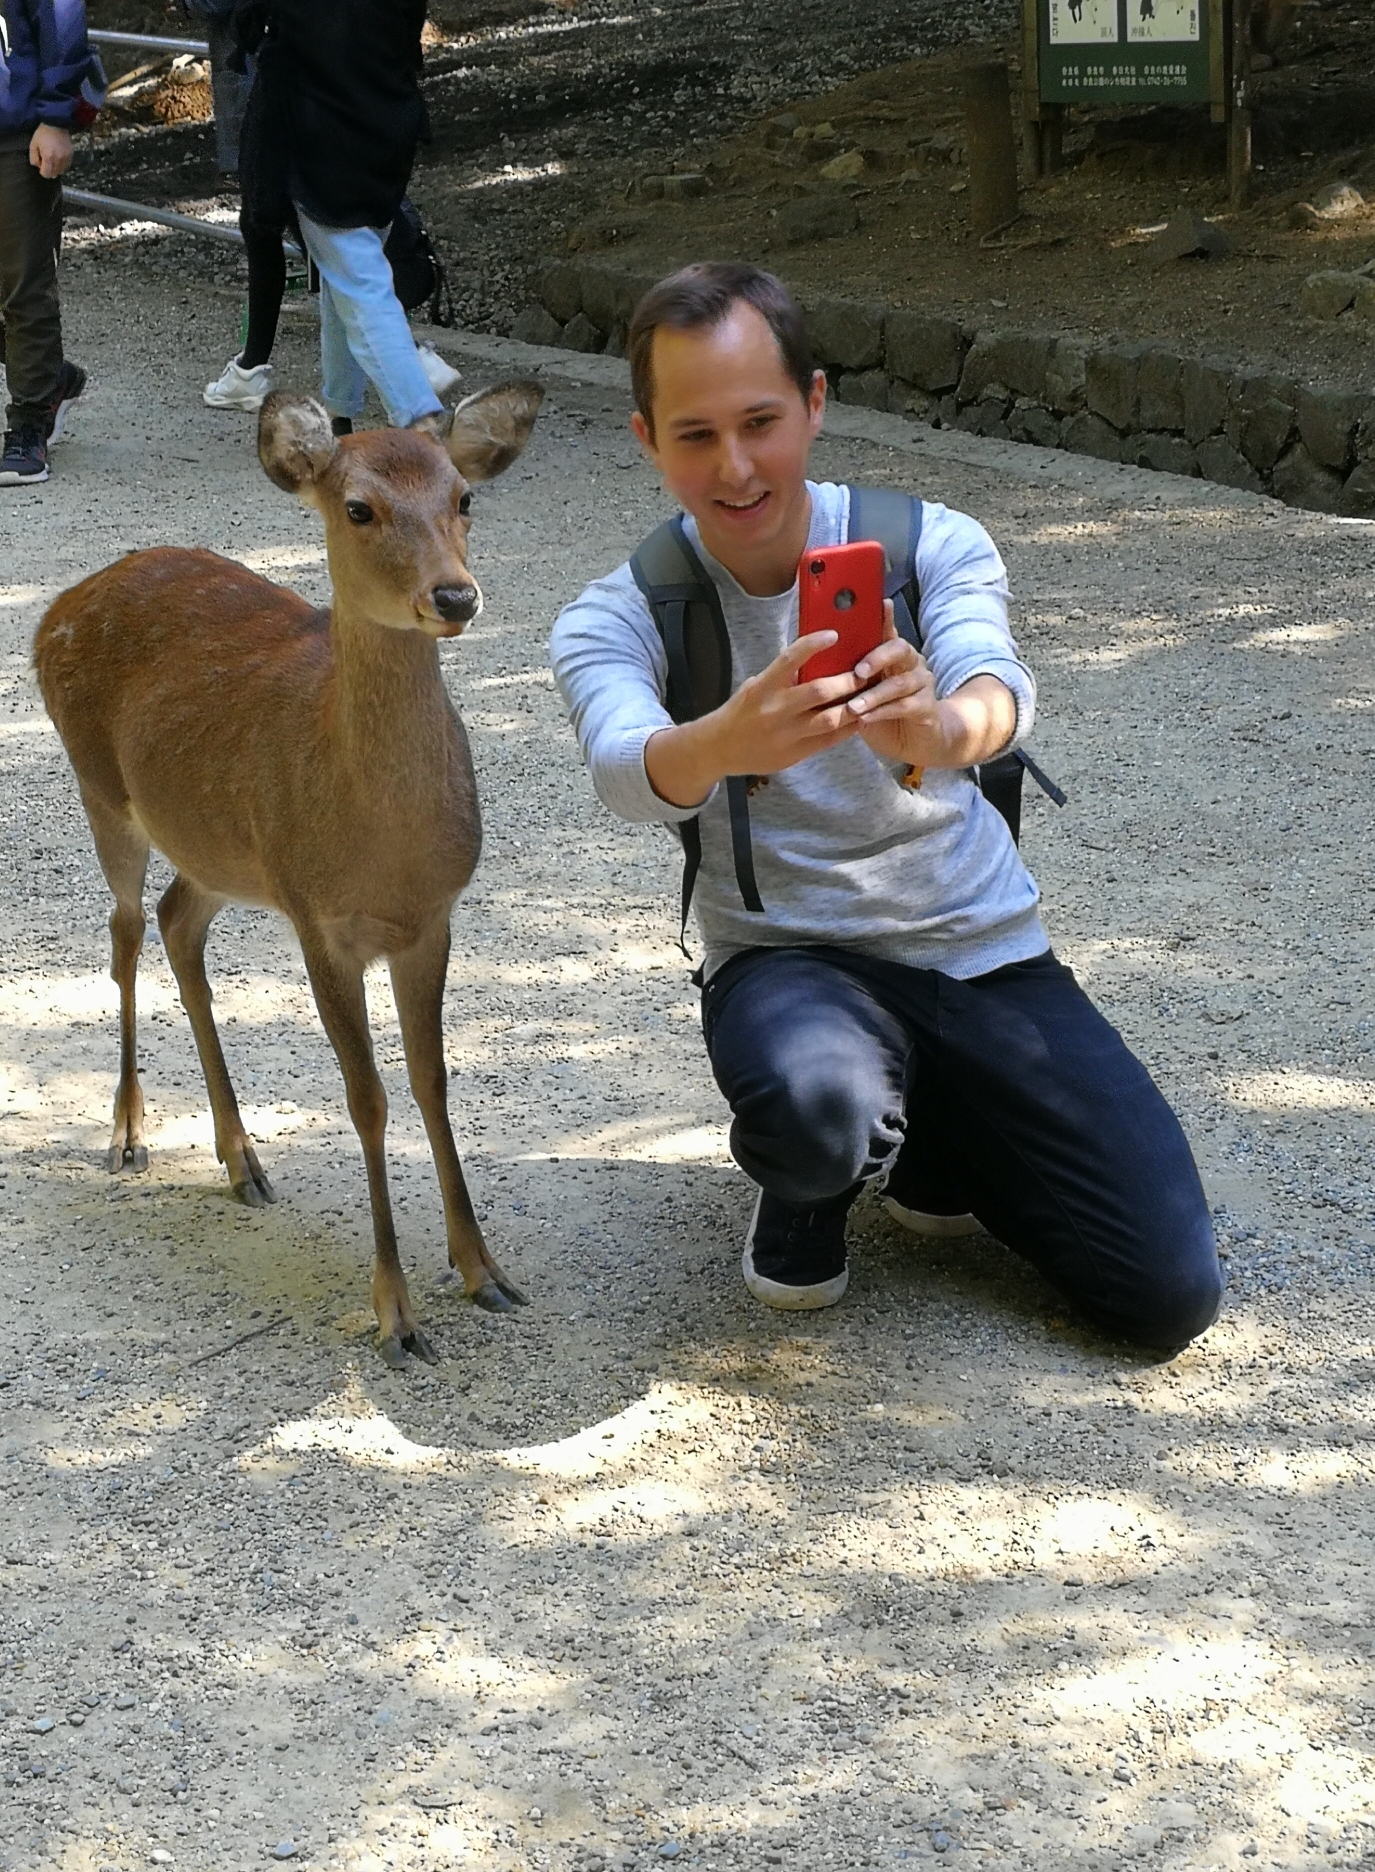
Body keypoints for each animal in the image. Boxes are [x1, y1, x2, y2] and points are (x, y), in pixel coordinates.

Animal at [32, 383, 542, 1377]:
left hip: (225, 849)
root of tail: (61, 603)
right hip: (102, 788)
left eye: (464, 497)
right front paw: (396, 1315)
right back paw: (129, 1134)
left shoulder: (431, 918)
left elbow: (432, 1081)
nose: (453, 595)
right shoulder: (320, 922)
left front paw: (486, 1272)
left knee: (176, 920)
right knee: (121, 930)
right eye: (359, 508)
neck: (384, 852)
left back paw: (242, 1159)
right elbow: (367, 1098)